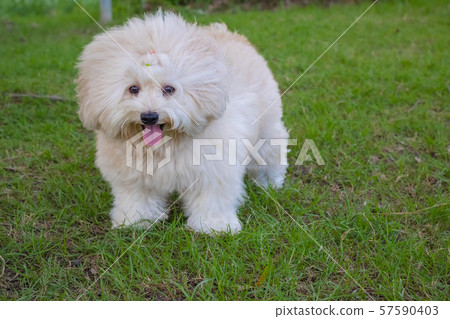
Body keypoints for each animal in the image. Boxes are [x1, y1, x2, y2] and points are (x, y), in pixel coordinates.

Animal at [75, 11, 288, 235]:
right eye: (133, 89)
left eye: (169, 89)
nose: (149, 116)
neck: (166, 144)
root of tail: (225, 32)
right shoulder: (133, 178)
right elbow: (136, 198)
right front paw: (135, 221)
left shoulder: (213, 171)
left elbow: (212, 199)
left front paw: (214, 226)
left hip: (267, 130)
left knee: (270, 154)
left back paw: (270, 182)